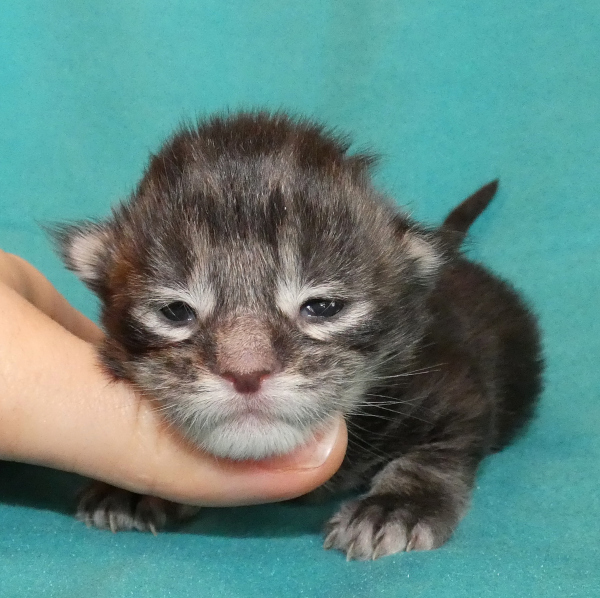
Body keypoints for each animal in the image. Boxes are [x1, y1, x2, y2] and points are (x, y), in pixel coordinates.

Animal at [53, 112, 543, 560]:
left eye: (322, 308)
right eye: (175, 312)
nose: (246, 373)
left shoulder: (456, 389)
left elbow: (438, 453)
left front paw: (397, 507)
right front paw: (131, 489)